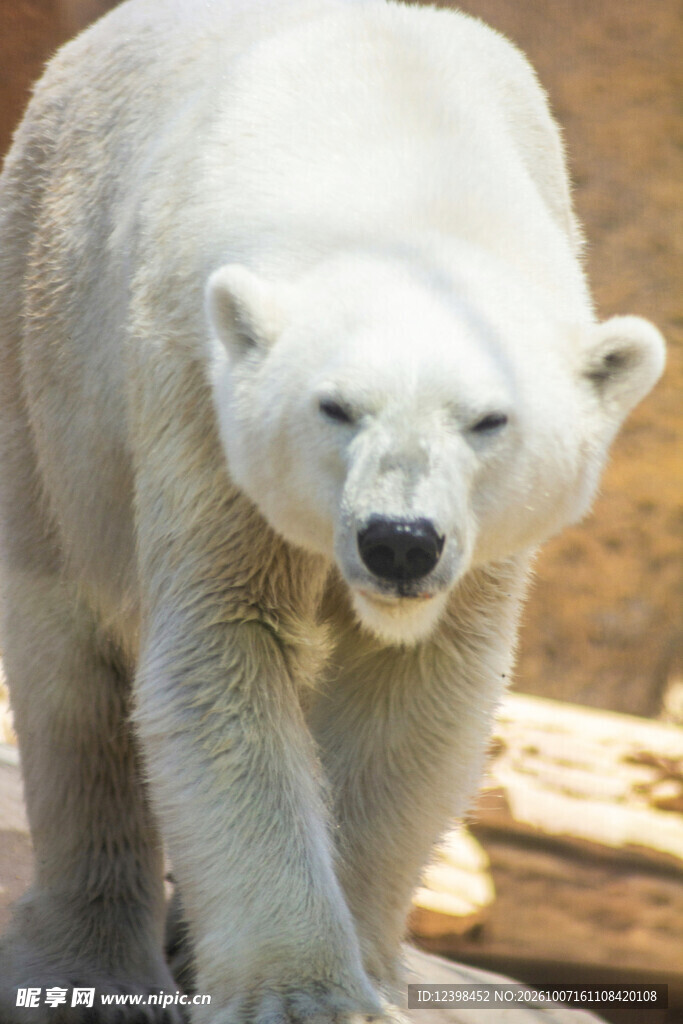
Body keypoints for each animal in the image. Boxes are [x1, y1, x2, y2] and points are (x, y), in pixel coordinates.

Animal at [0, 0, 665, 1020]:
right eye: (335, 407)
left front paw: (368, 972)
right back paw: (92, 962)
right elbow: (223, 653)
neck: (398, 166)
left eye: (487, 420)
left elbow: (413, 694)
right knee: (67, 656)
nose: (399, 543)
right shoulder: (193, 389)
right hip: (46, 359)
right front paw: (301, 990)